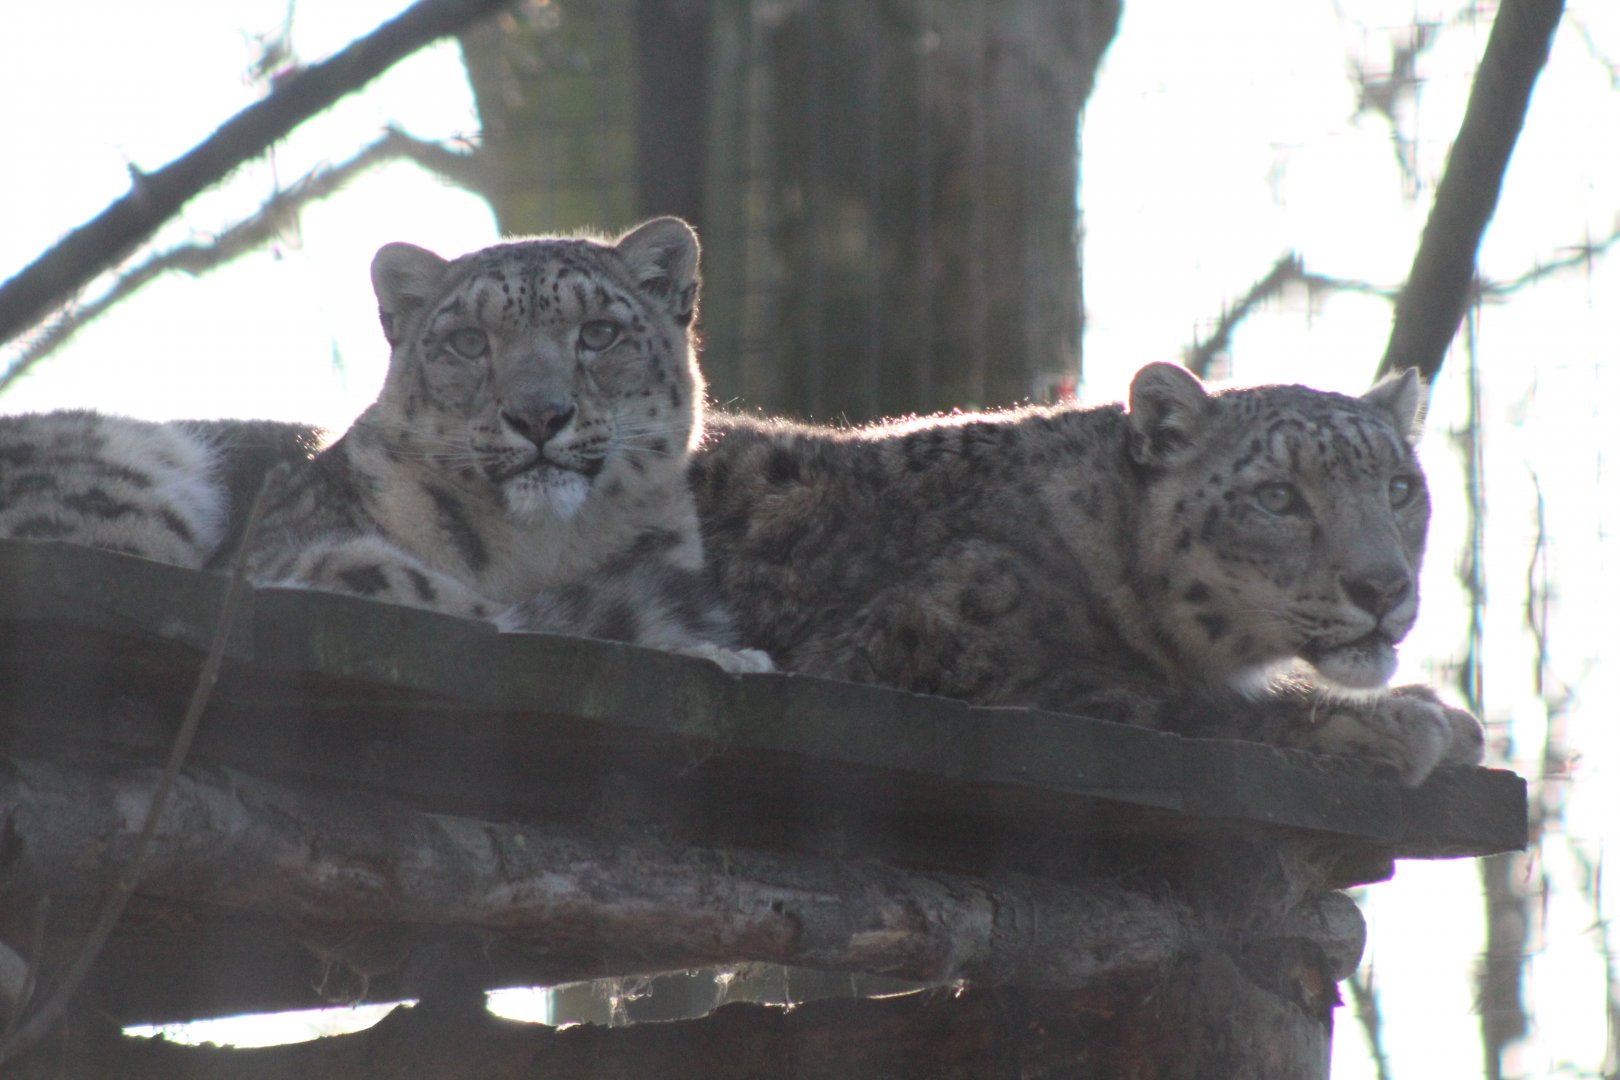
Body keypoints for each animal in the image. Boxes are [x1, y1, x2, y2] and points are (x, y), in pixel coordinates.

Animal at [690, 361, 1485, 784]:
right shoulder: (936, 655)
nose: (1383, 587)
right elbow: (1191, 707)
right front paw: (1409, 719)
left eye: (1399, 488)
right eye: (1277, 496)